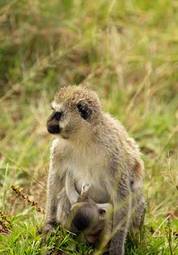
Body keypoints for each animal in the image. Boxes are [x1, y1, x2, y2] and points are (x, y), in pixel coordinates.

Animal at [44, 86, 145, 255]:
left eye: (58, 114)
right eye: (53, 112)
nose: (47, 122)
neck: (84, 138)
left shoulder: (113, 154)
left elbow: (122, 195)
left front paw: (116, 248)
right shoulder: (59, 148)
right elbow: (56, 180)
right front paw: (50, 224)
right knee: (64, 195)